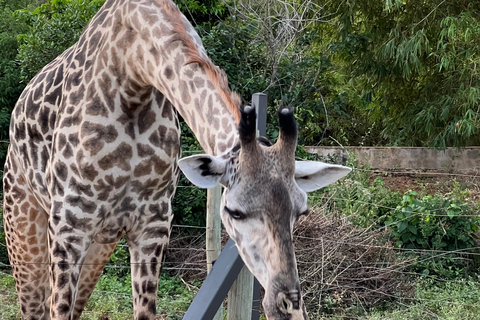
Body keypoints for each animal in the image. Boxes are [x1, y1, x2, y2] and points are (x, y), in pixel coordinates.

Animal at [1, 0, 350, 320]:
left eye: (301, 212)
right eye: (234, 212)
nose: (286, 305)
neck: (131, 69)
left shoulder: (153, 222)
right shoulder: (69, 222)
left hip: (101, 241)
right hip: (24, 228)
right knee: (37, 307)